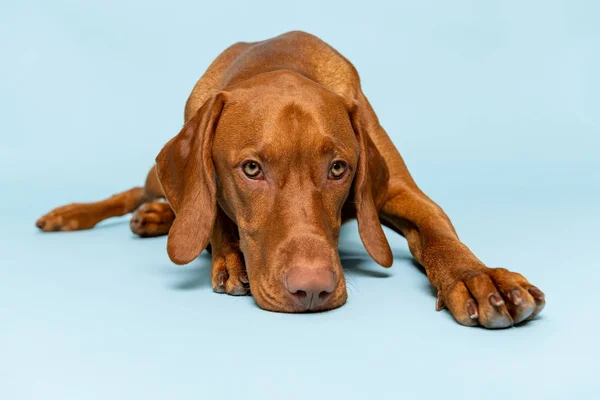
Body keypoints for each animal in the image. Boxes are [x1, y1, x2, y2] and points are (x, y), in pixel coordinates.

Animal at [36, 32, 544, 328]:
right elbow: (211, 217)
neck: (276, 60)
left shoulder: (402, 192)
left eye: (338, 168)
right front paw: (229, 257)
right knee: (135, 195)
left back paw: (156, 217)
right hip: (151, 178)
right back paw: (76, 214)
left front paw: (477, 277)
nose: (312, 290)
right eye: (251, 169)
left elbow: (440, 235)